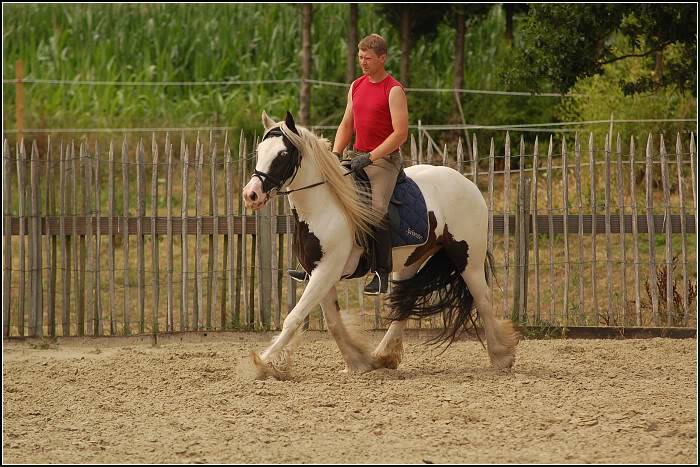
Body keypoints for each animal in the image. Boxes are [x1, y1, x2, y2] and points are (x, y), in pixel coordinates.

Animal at [243, 112, 516, 380]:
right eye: (259, 150)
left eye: (282, 154)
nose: (251, 194)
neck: (324, 206)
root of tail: (467, 184)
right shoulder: (318, 272)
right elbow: (333, 323)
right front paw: (357, 362)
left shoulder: (327, 270)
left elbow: (294, 318)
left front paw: (261, 364)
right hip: (410, 261)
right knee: (405, 301)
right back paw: (383, 356)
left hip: (468, 259)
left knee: (482, 298)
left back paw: (502, 356)